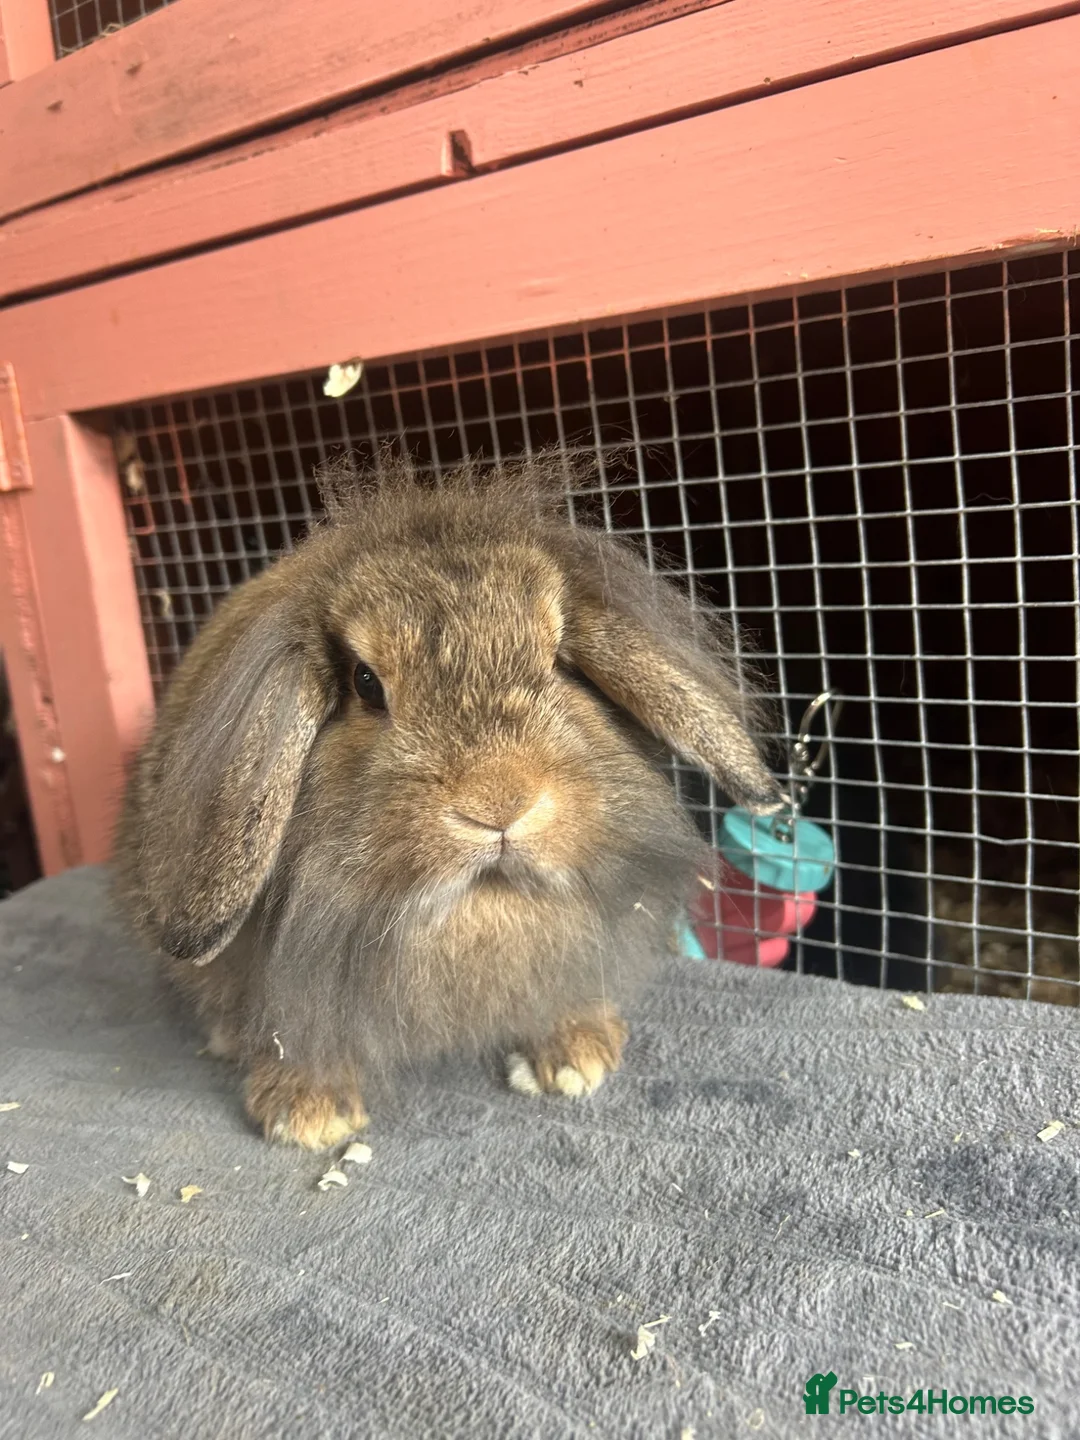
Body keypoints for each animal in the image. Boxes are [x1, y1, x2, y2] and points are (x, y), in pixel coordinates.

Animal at [112, 455, 783, 1149]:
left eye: (559, 661)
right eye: (365, 683)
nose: (500, 801)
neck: (480, 906)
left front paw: (578, 1056)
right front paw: (308, 1113)